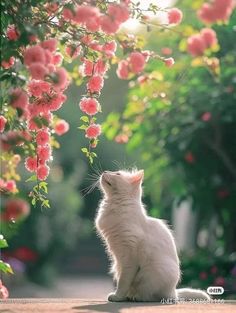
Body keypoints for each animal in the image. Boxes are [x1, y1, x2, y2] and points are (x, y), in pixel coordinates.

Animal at [94, 169, 210, 302]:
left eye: (117, 174)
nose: (104, 171)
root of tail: (173, 292)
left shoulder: (129, 258)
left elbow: (123, 282)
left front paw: (118, 297)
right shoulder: (119, 259)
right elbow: (121, 280)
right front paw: (121, 296)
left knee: (151, 296)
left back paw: (137, 297)